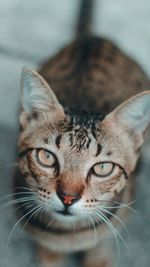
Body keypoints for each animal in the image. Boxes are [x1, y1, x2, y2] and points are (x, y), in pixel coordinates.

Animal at [13, 0, 150, 267]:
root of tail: (93, 38)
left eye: (103, 168)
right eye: (46, 157)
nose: (68, 198)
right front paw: (50, 254)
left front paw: (97, 256)